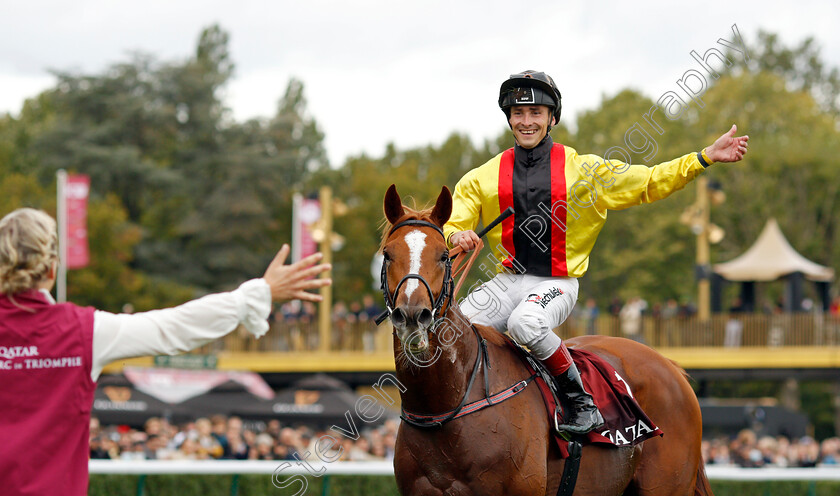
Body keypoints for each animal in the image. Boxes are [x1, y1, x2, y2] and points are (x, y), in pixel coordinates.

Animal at [382, 184, 716, 494]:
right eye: (387, 254)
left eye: (442, 256)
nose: (412, 315)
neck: (446, 405)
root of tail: (671, 366)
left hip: (666, 484)